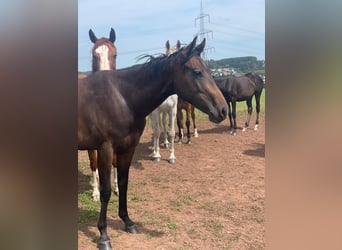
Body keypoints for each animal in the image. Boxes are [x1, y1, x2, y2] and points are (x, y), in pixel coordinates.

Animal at [77, 36, 227, 249]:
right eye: (197, 72)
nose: (223, 110)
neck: (122, 97)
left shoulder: (127, 149)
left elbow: (123, 183)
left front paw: (128, 222)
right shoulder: (105, 149)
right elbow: (106, 191)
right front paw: (103, 235)